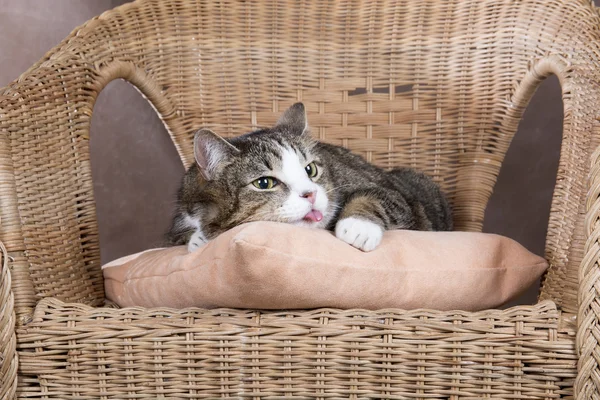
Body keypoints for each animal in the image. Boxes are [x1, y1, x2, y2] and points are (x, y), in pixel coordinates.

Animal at [166, 103, 452, 253]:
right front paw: (198, 238)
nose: (311, 193)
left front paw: (358, 226)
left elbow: (380, 196)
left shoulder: (394, 194)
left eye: (310, 170)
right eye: (264, 183)